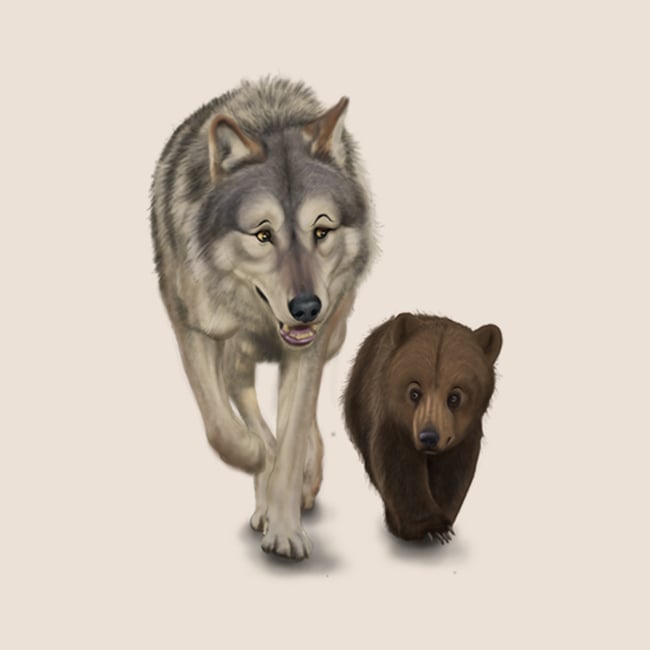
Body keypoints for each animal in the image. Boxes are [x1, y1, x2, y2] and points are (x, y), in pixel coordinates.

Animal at [150, 78, 373, 560]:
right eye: (263, 234)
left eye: (321, 231)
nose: (307, 307)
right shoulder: (192, 330)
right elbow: (221, 429)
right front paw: (255, 458)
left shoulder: (308, 348)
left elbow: (290, 442)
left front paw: (286, 530)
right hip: (235, 357)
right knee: (244, 403)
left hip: (332, 333)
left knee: (305, 420)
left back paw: (304, 479)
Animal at [343, 313, 502, 542]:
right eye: (414, 392)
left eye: (454, 397)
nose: (429, 437)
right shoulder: (392, 423)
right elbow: (399, 467)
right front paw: (428, 527)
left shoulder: (463, 435)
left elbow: (453, 471)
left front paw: (444, 520)